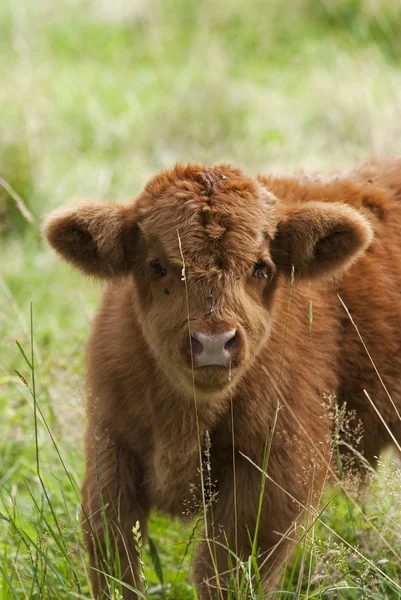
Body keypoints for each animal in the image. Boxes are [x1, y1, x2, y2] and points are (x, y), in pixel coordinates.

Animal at [43, 159, 400, 600]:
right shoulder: (110, 444)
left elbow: (222, 572)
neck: (182, 422)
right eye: (157, 265)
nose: (213, 343)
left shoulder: (278, 471)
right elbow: (113, 556)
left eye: (261, 267)